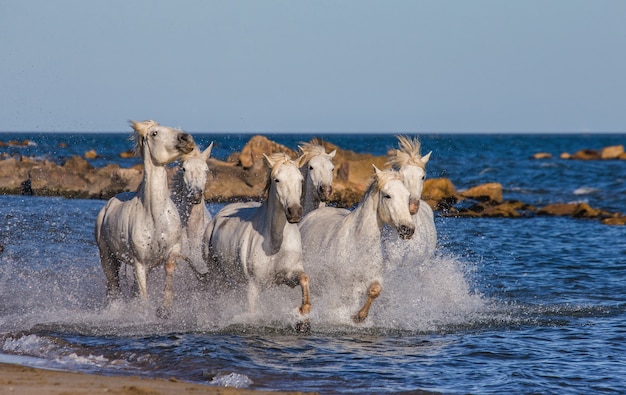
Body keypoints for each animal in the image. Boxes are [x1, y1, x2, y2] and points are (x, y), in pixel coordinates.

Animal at [93, 119, 193, 318]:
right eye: (154, 133)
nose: (186, 139)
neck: (155, 217)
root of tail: (108, 205)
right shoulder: (139, 262)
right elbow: (143, 292)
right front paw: (145, 313)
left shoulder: (171, 251)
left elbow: (169, 269)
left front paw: (165, 308)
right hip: (107, 256)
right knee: (114, 284)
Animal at [201, 153, 310, 324]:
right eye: (277, 180)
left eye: (301, 179)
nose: (294, 212)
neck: (275, 244)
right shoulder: (253, 286)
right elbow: (251, 312)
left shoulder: (289, 275)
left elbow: (304, 279)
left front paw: (303, 311)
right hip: (216, 274)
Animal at [298, 167, 414, 324]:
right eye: (387, 196)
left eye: (408, 196)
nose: (408, 229)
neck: (357, 246)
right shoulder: (339, 287)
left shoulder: (371, 278)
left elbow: (375, 290)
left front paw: (359, 316)